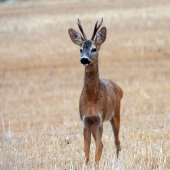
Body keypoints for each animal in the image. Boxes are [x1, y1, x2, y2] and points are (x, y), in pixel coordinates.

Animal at [68, 17, 123, 164]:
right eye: (80, 49)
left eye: (94, 49)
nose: (84, 59)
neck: (92, 98)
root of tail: (118, 87)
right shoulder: (86, 120)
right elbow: (86, 150)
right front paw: (86, 165)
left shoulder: (99, 119)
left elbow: (97, 149)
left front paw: (96, 165)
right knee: (104, 144)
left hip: (115, 113)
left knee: (117, 142)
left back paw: (117, 162)